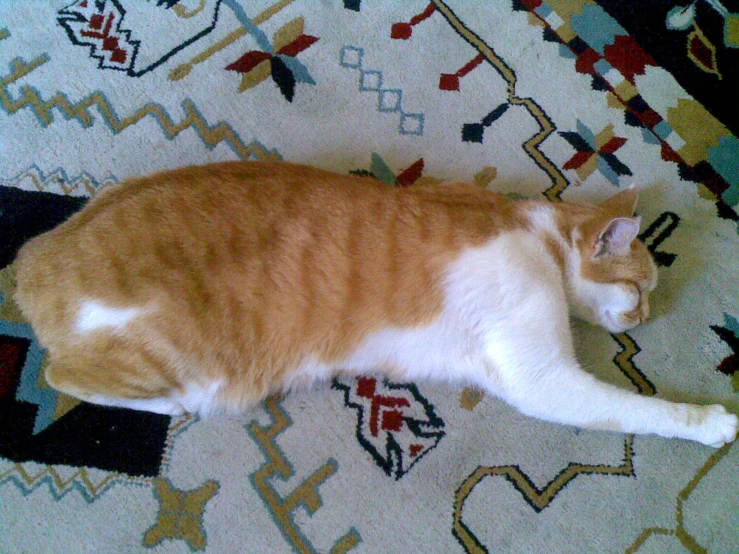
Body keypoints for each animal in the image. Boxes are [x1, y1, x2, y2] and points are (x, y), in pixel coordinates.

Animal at [13, 160, 739, 444]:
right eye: (640, 288)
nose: (650, 315)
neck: (537, 235)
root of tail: (38, 259)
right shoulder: (543, 379)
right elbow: (642, 410)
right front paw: (711, 422)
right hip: (181, 362)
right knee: (63, 374)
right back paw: (168, 404)